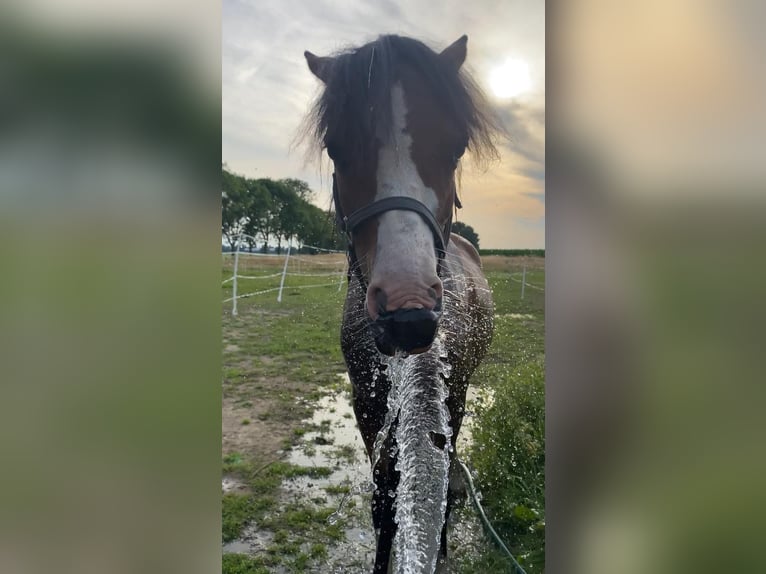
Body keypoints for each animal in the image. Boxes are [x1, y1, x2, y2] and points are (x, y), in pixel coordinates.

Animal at [304, 33, 500, 572]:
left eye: (455, 147)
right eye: (336, 148)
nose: (407, 311)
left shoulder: (449, 394)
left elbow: (439, 475)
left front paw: (441, 548)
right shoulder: (366, 402)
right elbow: (383, 497)